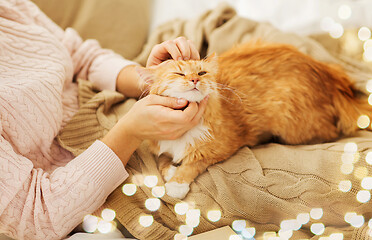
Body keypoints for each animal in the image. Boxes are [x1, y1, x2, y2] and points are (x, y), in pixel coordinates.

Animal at [137, 41, 372, 199]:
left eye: (201, 73)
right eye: (178, 74)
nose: (195, 79)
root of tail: (328, 76)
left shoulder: (222, 147)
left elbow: (193, 163)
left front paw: (177, 183)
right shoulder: (157, 144)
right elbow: (162, 160)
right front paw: (171, 170)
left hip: (293, 127)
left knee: (330, 132)